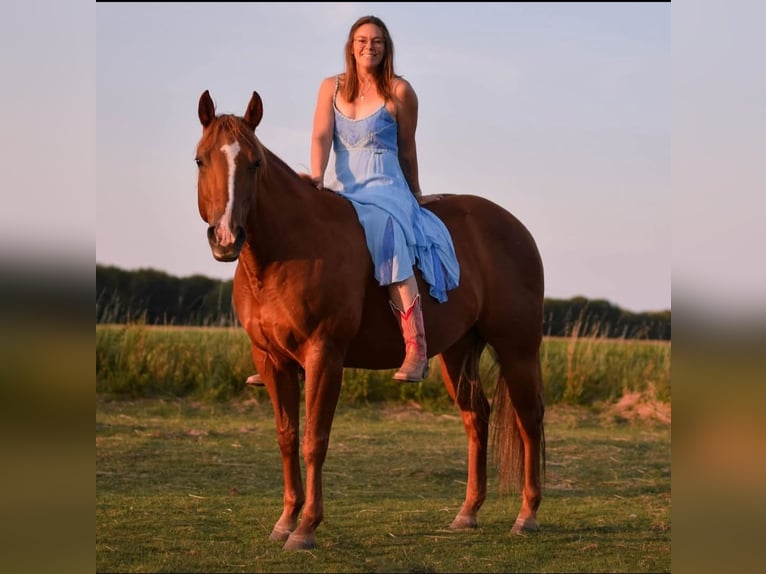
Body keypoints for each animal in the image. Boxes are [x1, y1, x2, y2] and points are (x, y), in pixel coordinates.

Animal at [195, 89, 546, 551]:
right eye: (201, 160)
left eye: (254, 163)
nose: (226, 238)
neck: (290, 249)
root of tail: (516, 227)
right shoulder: (272, 361)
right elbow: (287, 437)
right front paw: (286, 520)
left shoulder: (324, 357)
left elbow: (315, 440)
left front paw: (306, 528)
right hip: (457, 352)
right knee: (478, 417)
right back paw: (468, 512)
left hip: (517, 349)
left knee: (529, 421)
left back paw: (527, 515)